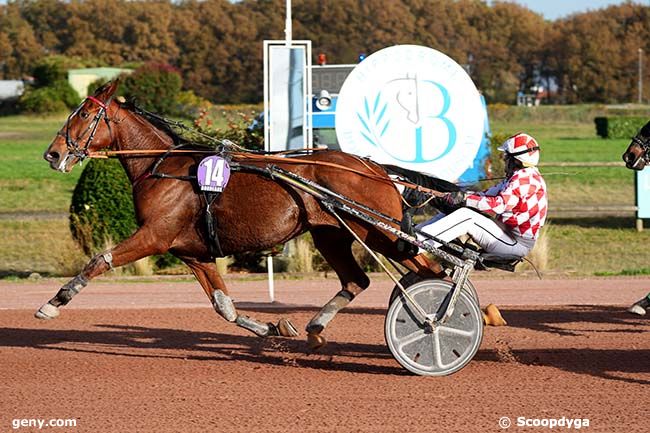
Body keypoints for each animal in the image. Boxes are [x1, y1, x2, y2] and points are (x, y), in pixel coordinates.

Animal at [36, 81, 440, 348]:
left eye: (85, 114)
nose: (52, 154)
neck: (159, 167)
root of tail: (374, 167)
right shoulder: (192, 252)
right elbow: (224, 307)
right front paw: (273, 329)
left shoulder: (155, 236)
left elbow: (99, 260)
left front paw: (53, 304)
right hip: (332, 234)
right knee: (358, 280)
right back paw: (315, 328)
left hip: (380, 232)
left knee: (430, 270)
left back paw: (436, 320)